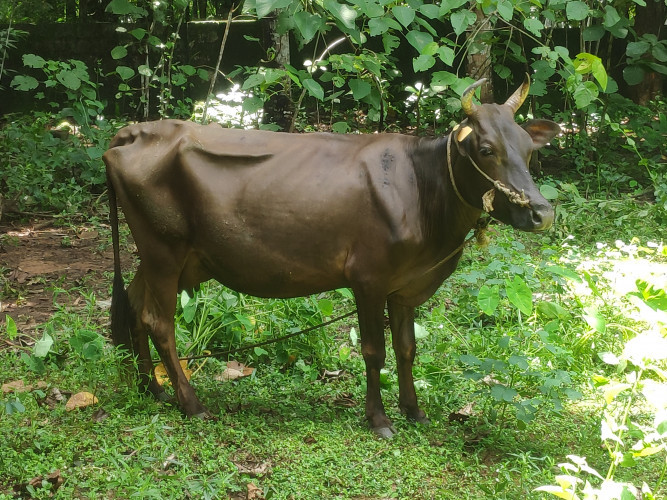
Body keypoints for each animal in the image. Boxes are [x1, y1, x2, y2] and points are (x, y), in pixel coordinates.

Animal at [104, 75, 560, 438]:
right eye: (485, 149)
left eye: (527, 149)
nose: (542, 213)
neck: (424, 189)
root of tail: (136, 130)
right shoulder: (368, 278)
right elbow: (374, 351)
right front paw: (379, 420)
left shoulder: (404, 285)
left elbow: (407, 348)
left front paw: (413, 411)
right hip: (164, 250)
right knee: (158, 321)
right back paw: (192, 404)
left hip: (172, 259)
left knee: (134, 304)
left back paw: (154, 389)